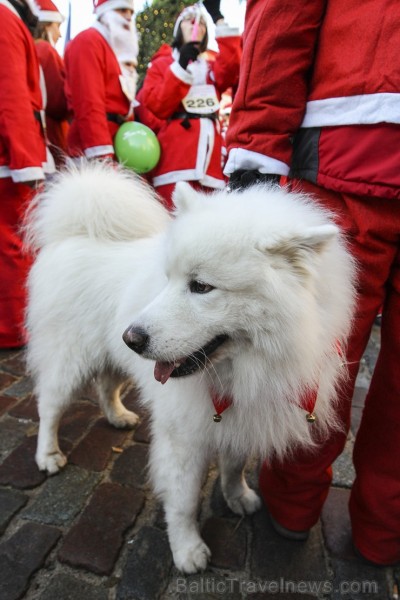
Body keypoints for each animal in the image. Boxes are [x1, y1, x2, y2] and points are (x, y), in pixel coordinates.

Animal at [25, 162, 354, 576]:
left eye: (201, 286)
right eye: (169, 279)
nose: (131, 337)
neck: (240, 368)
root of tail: (76, 233)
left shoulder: (240, 418)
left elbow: (233, 466)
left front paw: (238, 496)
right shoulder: (184, 435)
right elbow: (182, 501)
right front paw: (187, 550)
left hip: (112, 358)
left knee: (106, 387)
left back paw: (118, 417)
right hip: (70, 360)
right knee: (49, 407)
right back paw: (47, 455)